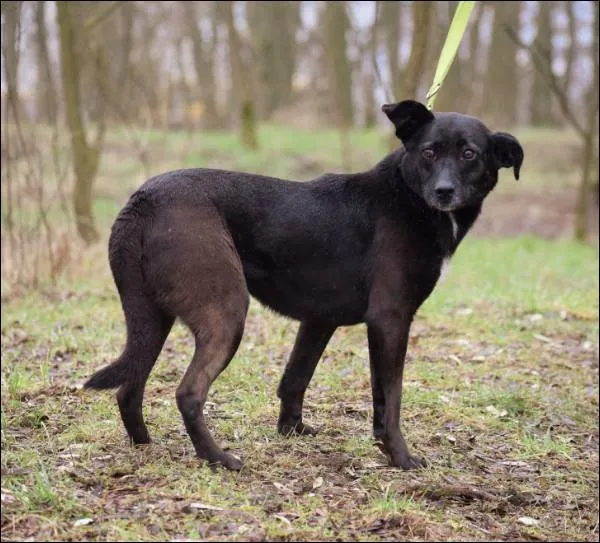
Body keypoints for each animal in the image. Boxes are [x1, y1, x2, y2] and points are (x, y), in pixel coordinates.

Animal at [86, 101, 524, 472]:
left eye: (470, 154)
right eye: (429, 152)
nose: (444, 192)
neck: (409, 197)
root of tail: (142, 200)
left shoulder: (319, 320)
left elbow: (296, 378)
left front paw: (292, 432)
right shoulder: (390, 319)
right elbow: (390, 398)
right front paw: (399, 456)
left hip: (150, 319)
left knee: (129, 387)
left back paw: (145, 445)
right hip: (226, 313)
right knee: (188, 393)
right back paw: (218, 458)